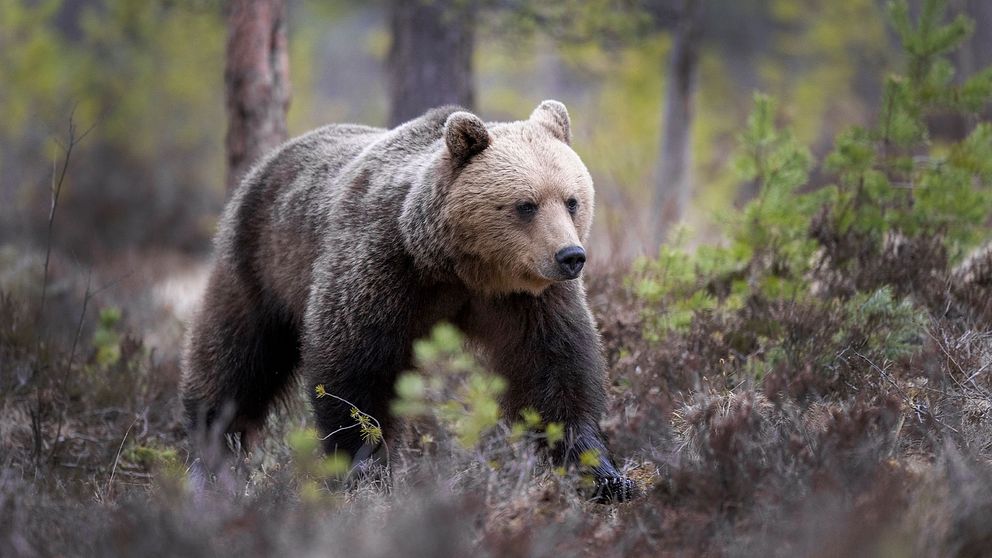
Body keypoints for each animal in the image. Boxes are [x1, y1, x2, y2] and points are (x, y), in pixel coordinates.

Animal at [181, 99, 636, 504]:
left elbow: (555, 369)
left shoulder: (527, 299)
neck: (458, 266)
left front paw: (604, 476)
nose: (570, 256)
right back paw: (208, 458)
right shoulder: (382, 271)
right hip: (259, 262)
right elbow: (354, 370)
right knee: (234, 359)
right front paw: (361, 470)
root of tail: (269, 160)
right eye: (526, 205)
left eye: (572, 200)